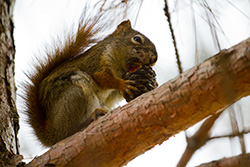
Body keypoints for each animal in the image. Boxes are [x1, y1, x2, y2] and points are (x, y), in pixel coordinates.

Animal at [22, 18, 157, 146]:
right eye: (137, 39)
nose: (154, 58)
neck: (120, 68)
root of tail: (51, 135)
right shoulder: (98, 61)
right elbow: (103, 77)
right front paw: (123, 85)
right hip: (75, 95)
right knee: (69, 132)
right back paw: (91, 117)